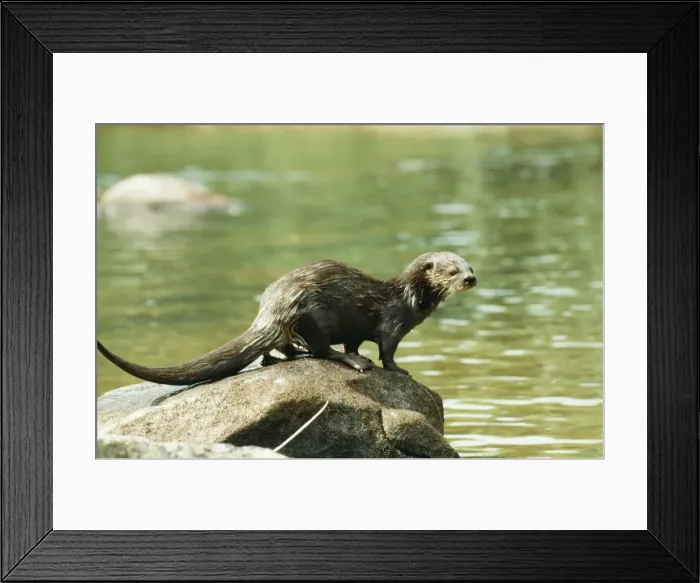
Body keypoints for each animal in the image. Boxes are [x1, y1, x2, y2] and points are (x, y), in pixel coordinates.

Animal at [97, 251, 477, 385]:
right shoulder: (394, 324)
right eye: (452, 270)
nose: (471, 279)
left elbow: (355, 339)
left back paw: (286, 356)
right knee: (322, 350)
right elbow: (386, 351)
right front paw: (397, 369)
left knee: (277, 350)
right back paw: (352, 363)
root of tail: (274, 306)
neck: (412, 299)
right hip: (316, 316)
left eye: (471, 266)